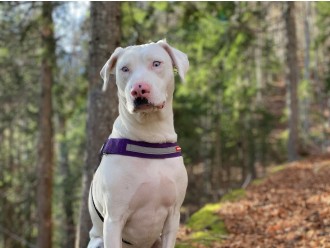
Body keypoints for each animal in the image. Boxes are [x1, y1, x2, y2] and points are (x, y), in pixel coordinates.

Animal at [87, 41, 189, 248]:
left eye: (156, 63)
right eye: (124, 69)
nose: (139, 89)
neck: (150, 138)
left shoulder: (173, 216)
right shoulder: (113, 220)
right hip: (98, 241)